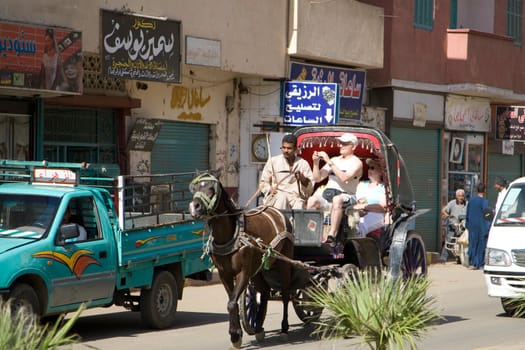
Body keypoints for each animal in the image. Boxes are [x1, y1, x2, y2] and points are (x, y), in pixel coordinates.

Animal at [188, 172, 294, 348]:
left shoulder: (243, 273)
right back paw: (258, 328)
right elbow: (232, 302)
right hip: (258, 269)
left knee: (286, 293)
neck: (230, 236)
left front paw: (235, 335)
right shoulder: (225, 274)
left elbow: (232, 303)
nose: (194, 207)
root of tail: (276, 211)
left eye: (211, 188)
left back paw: (284, 329)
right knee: (264, 292)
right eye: (194, 188)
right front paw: (236, 334)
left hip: (284, 262)